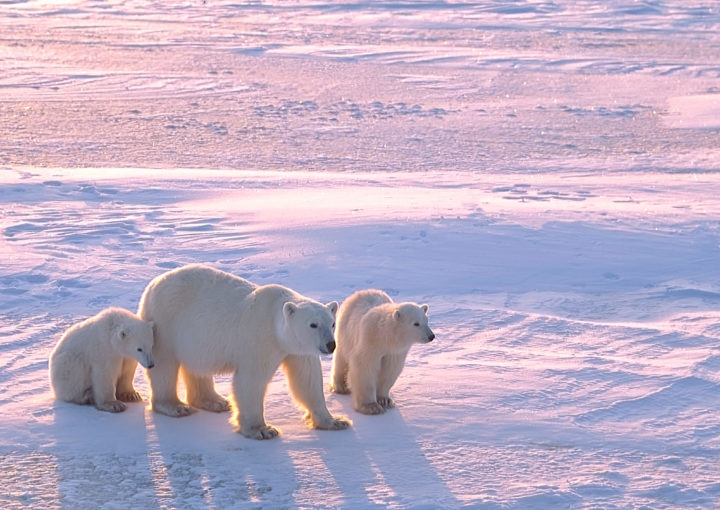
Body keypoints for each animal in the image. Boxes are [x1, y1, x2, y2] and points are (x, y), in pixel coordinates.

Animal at [139, 262, 352, 438]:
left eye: (332, 323)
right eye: (313, 325)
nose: (330, 345)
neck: (275, 321)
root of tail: (153, 284)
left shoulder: (298, 350)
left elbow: (307, 380)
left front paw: (335, 421)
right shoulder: (260, 339)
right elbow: (251, 381)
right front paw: (262, 430)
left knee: (198, 366)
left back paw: (216, 402)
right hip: (166, 322)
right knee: (164, 365)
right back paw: (175, 406)